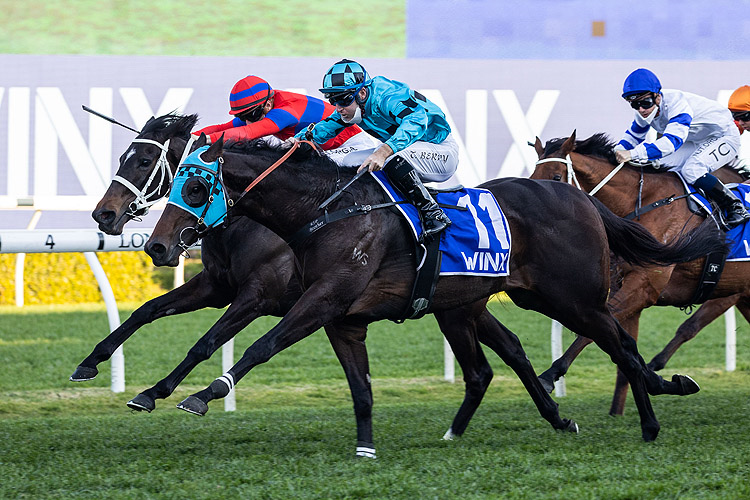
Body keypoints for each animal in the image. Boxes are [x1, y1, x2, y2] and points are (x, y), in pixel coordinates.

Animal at [73, 115, 580, 458]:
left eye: (144, 161)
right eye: (125, 157)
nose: (104, 215)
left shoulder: (260, 295)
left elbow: (209, 341)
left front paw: (162, 393)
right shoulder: (218, 286)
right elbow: (149, 310)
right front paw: (93, 364)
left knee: (511, 349)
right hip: (460, 303)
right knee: (509, 348)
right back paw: (550, 415)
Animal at [144, 136, 724, 442]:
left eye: (193, 186)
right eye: (171, 181)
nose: (159, 245)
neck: (329, 212)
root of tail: (581, 199)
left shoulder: (319, 298)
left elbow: (259, 345)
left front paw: (200, 395)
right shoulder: (335, 310)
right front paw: (157, 392)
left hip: (571, 297)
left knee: (618, 344)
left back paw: (651, 419)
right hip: (477, 301)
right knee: (502, 359)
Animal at [532, 132, 750, 414]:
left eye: (557, 177)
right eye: (532, 176)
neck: (646, 204)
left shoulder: (644, 287)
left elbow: (592, 331)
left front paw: (549, 376)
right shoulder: (625, 285)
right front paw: (620, 407)